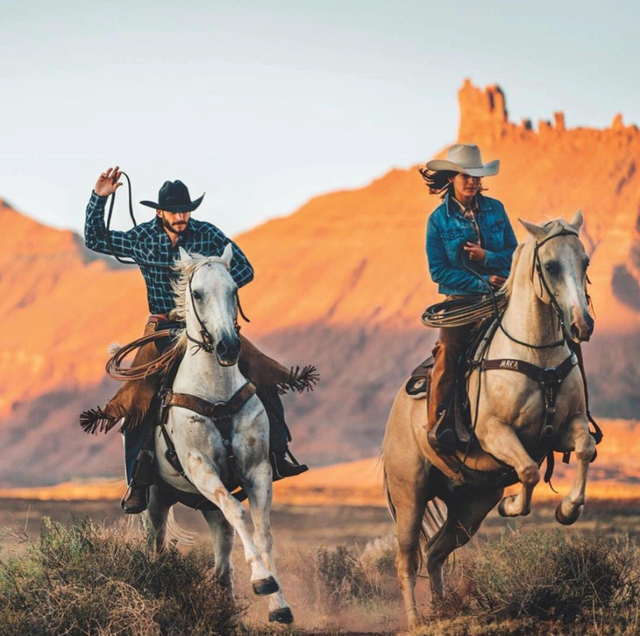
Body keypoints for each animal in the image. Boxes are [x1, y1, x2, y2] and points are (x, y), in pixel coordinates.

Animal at [142, 246, 292, 624]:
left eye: (234, 290)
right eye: (197, 294)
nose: (227, 347)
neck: (216, 392)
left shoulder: (257, 469)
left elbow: (262, 529)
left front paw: (278, 603)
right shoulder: (201, 468)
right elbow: (238, 512)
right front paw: (262, 579)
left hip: (208, 507)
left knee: (222, 563)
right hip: (155, 500)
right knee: (157, 548)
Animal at [380, 212, 596, 628]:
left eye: (585, 262)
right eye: (550, 266)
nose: (582, 325)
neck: (536, 354)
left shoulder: (562, 430)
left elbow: (584, 450)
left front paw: (566, 509)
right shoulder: (496, 433)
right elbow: (528, 470)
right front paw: (513, 506)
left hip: (470, 505)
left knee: (435, 551)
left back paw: (443, 609)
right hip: (410, 494)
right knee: (406, 558)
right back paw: (415, 620)